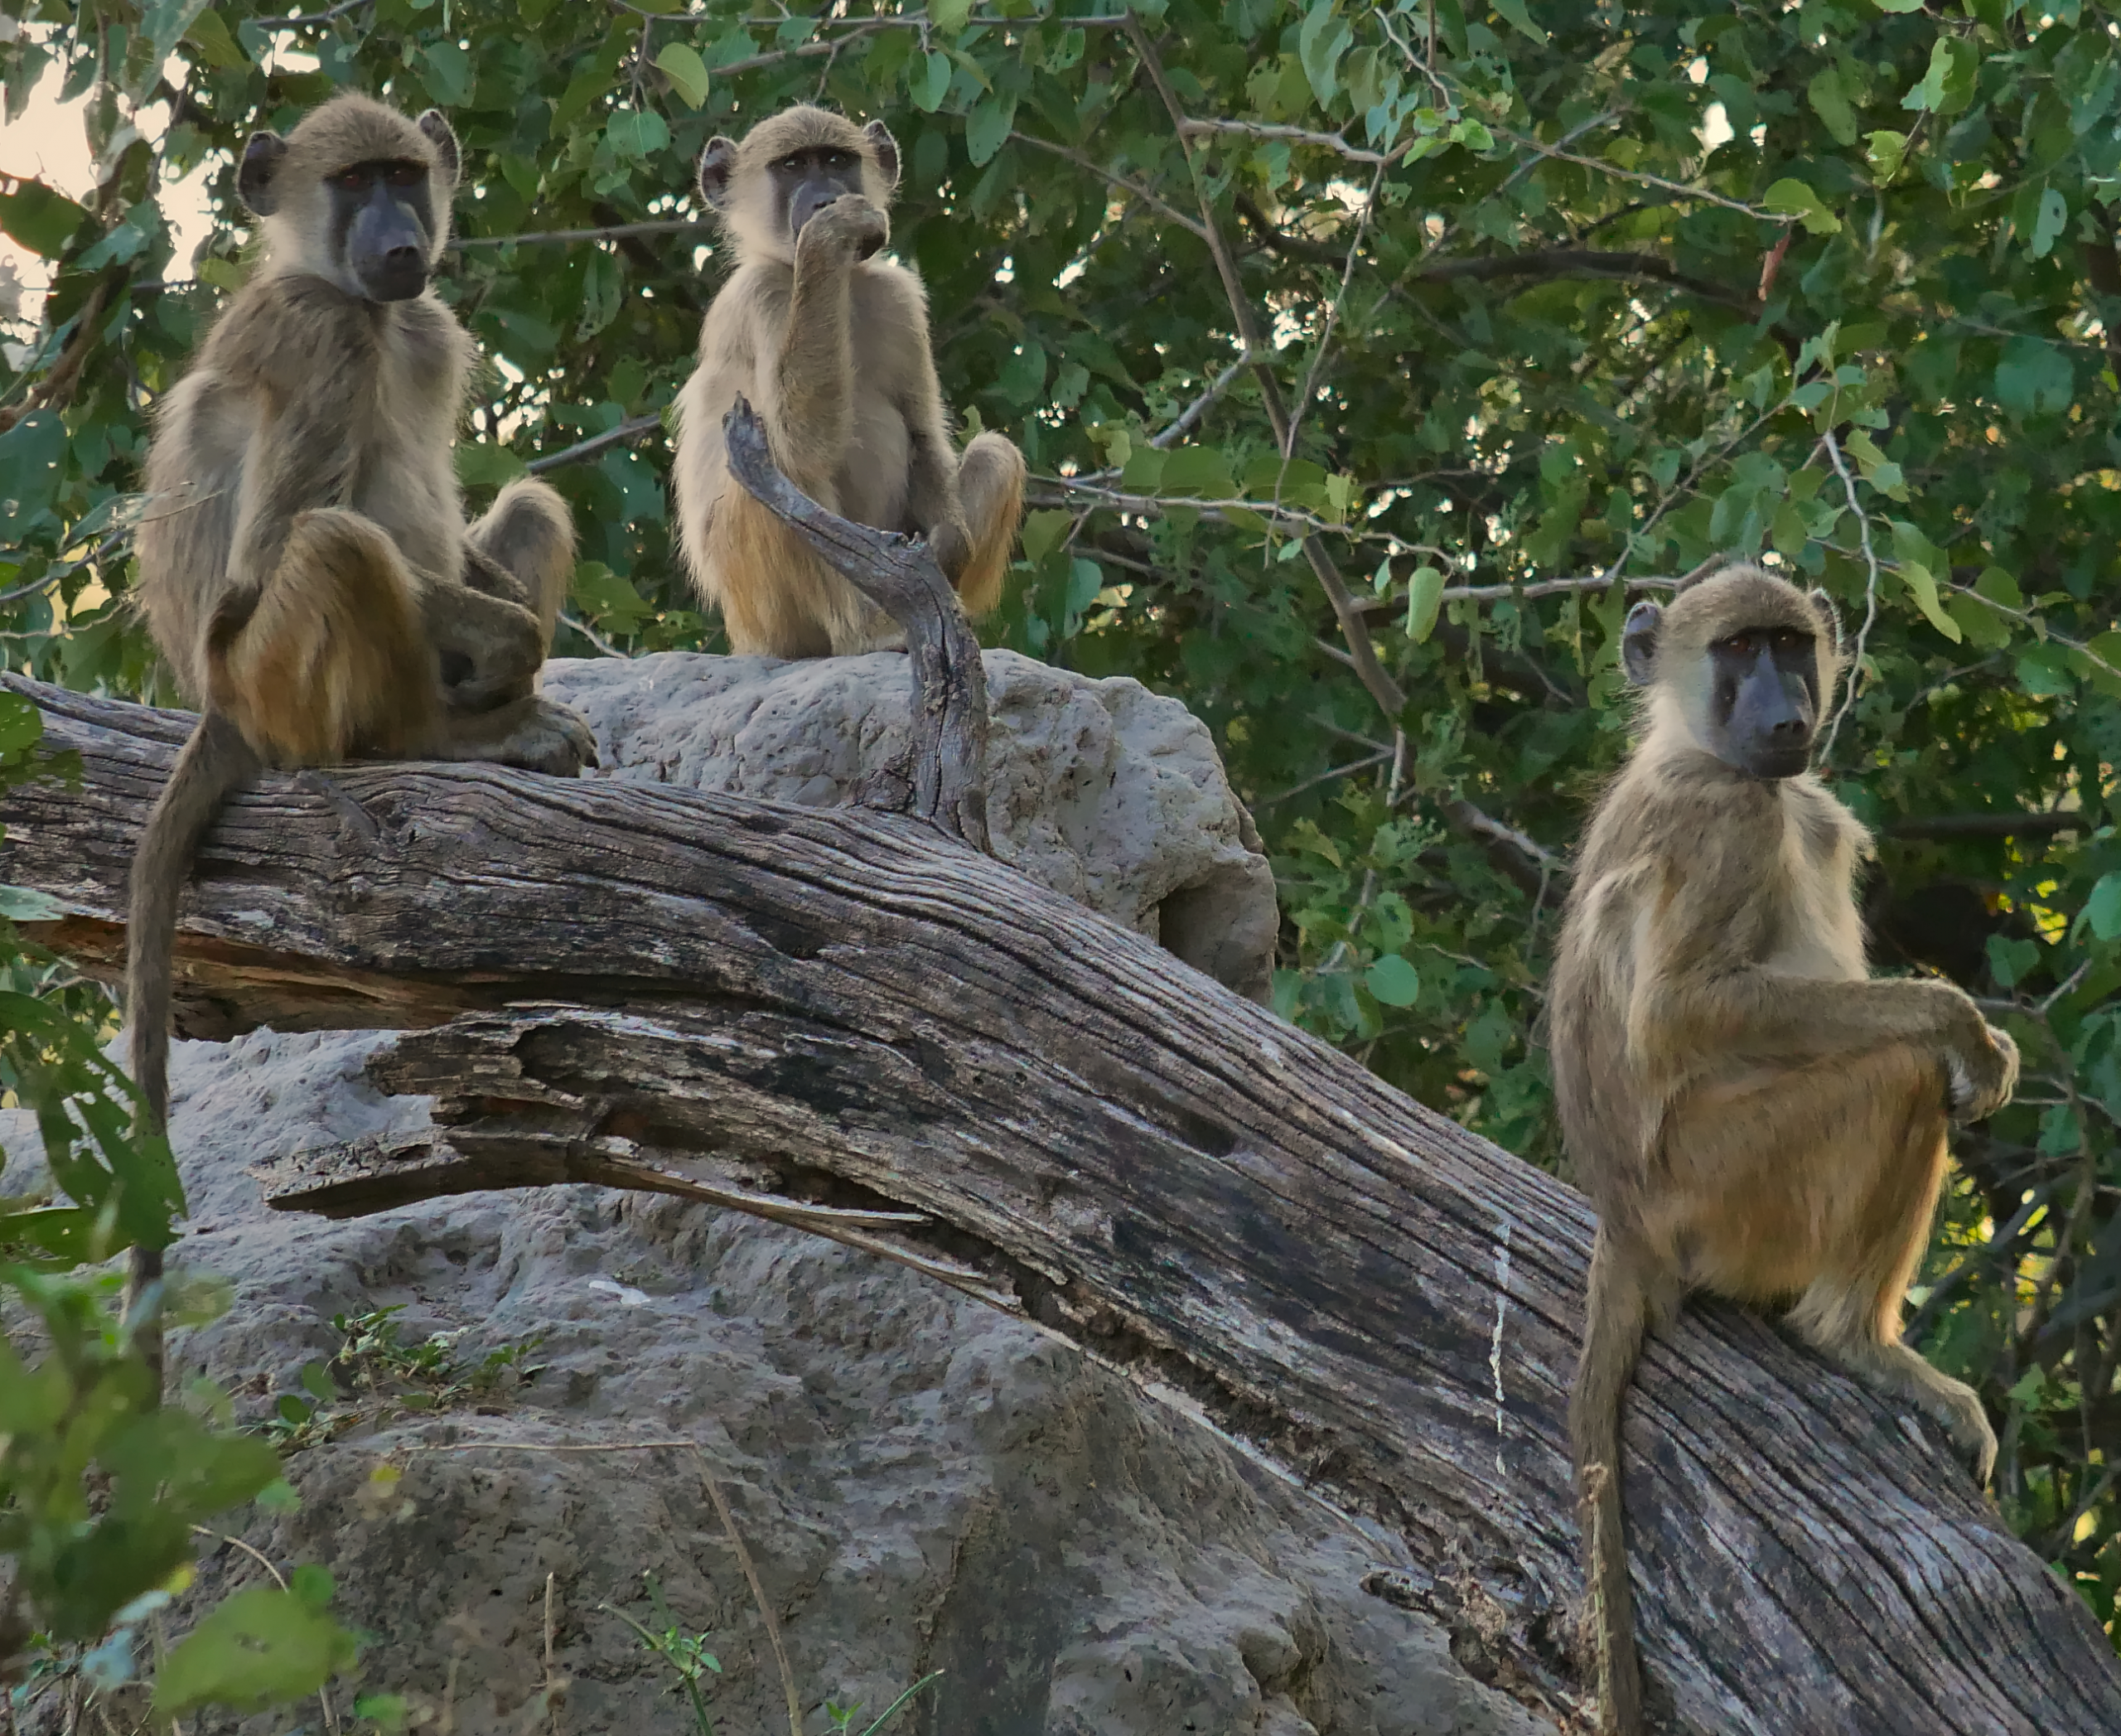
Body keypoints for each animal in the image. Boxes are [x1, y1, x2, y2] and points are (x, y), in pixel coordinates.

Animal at [123, 93, 596, 1382]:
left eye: (403, 175)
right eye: (353, 184)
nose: (400, 239)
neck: (362, 303)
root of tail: (220, 709)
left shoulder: (422, 327)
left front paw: (514, 627)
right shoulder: (322, 336)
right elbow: (274, 547)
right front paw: (510, 658)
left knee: (528, 507)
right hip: (274, 679)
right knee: (331, 545)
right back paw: (449, 736)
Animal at [671, 104, 1026, 659]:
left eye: (836, 161)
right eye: (793, 166)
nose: (824, 198)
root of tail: (746, 642)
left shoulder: (898, 298)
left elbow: (922, 433)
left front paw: (943, 549)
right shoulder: (758, 295)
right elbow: (800, 440)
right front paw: (828, 236)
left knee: (995, 454)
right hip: (764, 611)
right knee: (778, 466)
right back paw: (865, 633)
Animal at [1548, 562, 2018, 1735]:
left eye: (1788, 644)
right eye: (1736, 652)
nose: (1782, 714)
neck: (1694, 746)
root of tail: (1625, 1228)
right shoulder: (1733, 820)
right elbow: (1683, 1009)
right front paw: (1960, 1027)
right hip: (1728, 1190)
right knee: (1895, 1077)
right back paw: (1855, 1341)